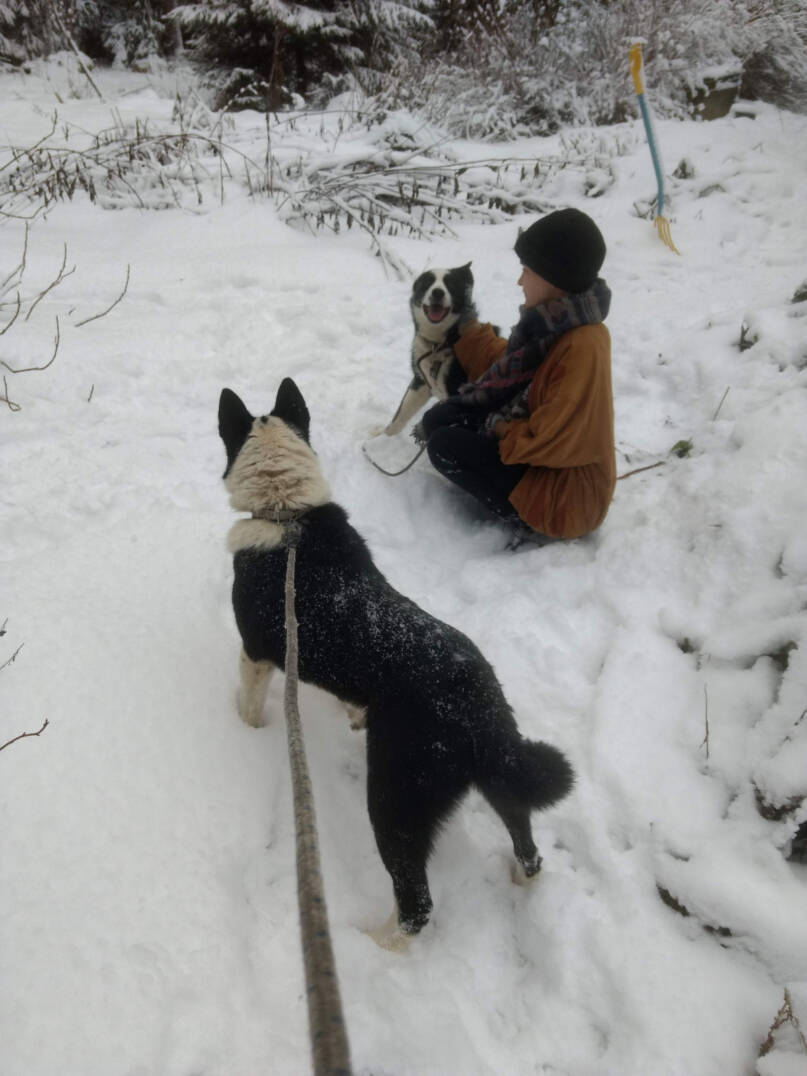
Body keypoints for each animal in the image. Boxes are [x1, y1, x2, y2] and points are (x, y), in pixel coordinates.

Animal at [219, 380, 576, 951]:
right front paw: (352, 716)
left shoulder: (255, 653)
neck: (287, 513)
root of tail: (475, 707)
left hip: (396, 797)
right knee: (529, 847)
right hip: (501, 779)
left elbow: (249, 707)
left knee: (417, 903)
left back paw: (374, 943)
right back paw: (520, 880)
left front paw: (244, 733)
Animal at [383, 262, 473, 434]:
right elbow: (400, 414)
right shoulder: (421, 382)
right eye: (427, 283)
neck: (436, 345)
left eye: (450, 284)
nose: (437, 292)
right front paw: (380, 438)